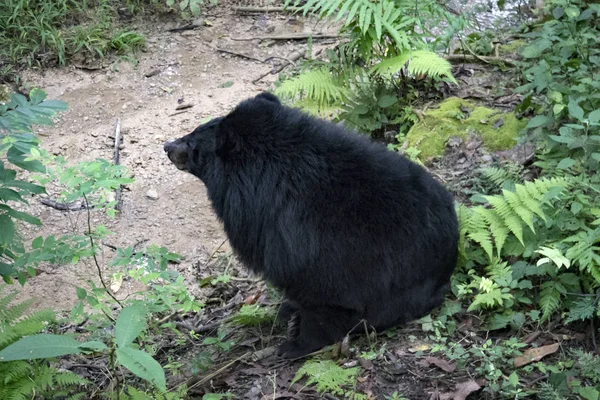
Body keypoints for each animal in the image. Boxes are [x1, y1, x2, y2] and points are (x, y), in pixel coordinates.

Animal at [164, 94, 460, 360]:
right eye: (193, 131)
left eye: (192, 143)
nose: (167, 146)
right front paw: (288, 312)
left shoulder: (304, 245)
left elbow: (319, 296)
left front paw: (293, 346)